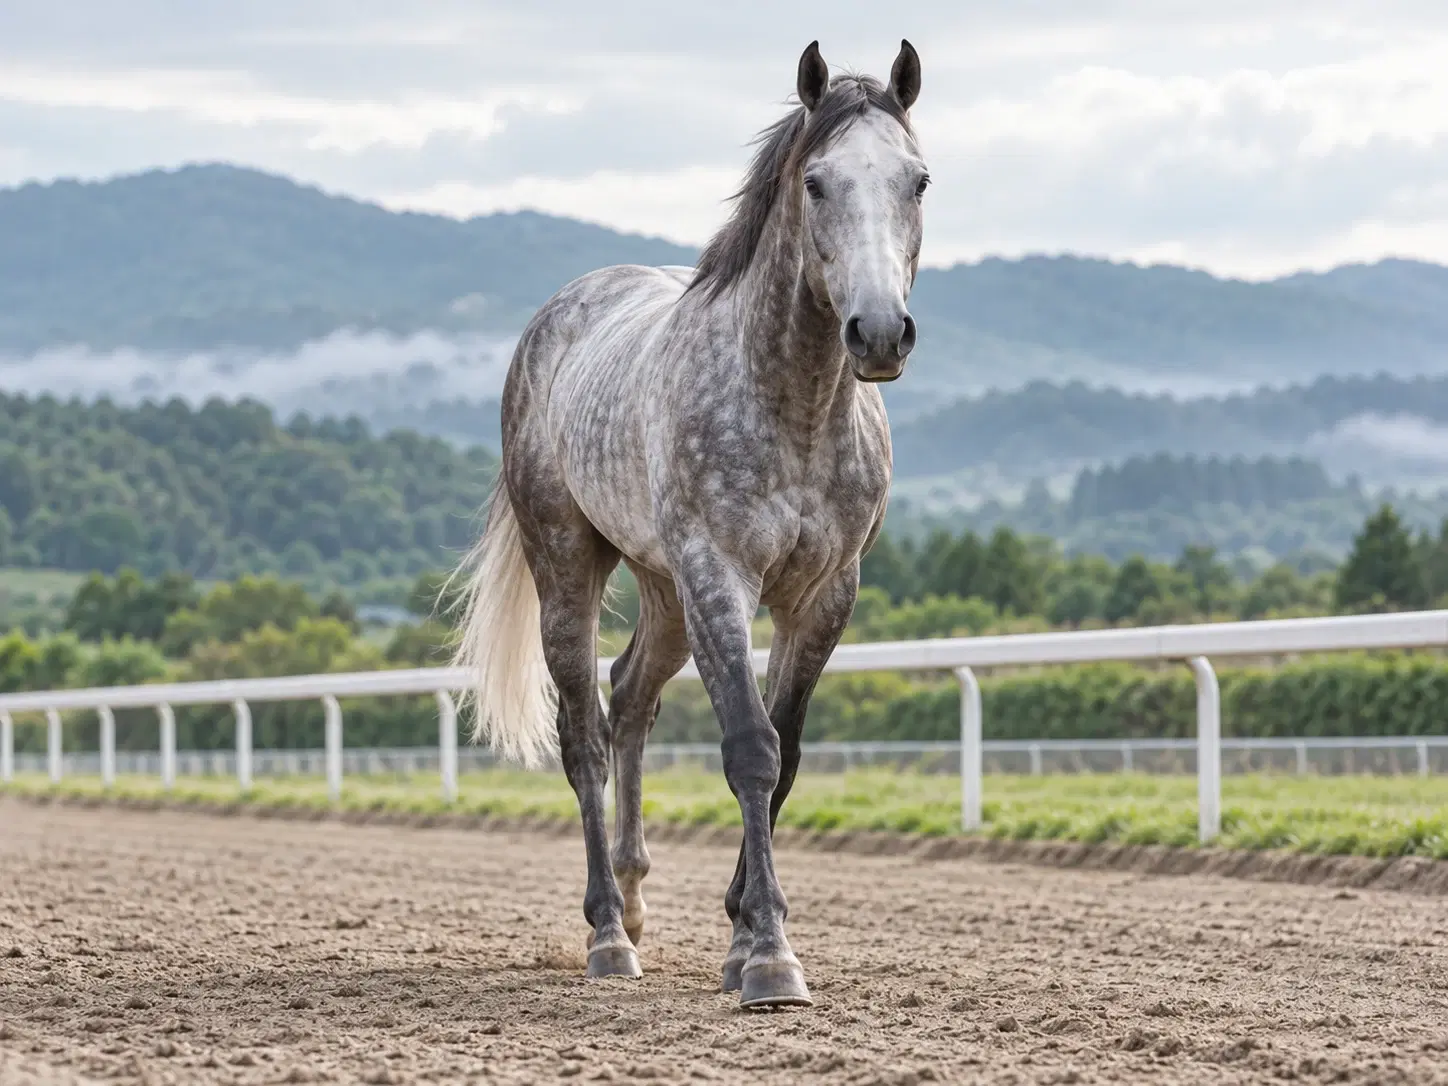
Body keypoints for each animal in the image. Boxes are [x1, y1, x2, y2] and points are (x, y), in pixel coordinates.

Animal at [449, 39, 928, 1010]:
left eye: (919, 180)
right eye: (816, 181)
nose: (878, 333)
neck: (793, 408)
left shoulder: (826, 595)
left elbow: (786, 755)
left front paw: (742, 935)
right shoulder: (720, 577)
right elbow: (749, 747)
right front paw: (770, 957)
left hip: (664, 593)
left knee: (631, 697)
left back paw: (635, 903)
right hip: (574, 569)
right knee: (585, 735)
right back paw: (606, 934)